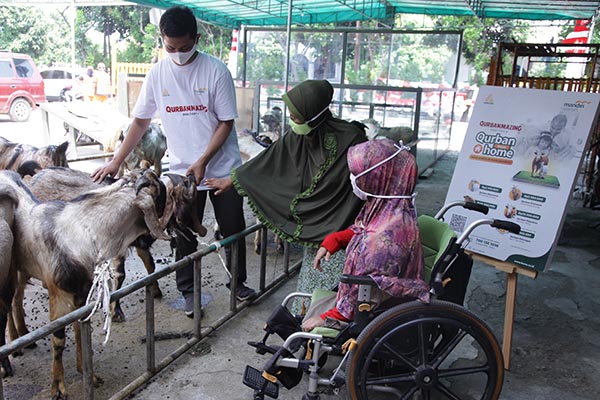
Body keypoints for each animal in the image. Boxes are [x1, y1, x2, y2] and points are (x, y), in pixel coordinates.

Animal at [0, 169, 204, 399]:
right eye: (163, 191)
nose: (193, 176)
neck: (79, 232)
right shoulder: (59, 295)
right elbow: (59, 339)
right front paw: (58, 388)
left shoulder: (81, 294)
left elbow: (81, 330)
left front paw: (87, 373)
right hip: (15, 271)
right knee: (13, 301)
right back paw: (16, 346)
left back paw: (23, 337)